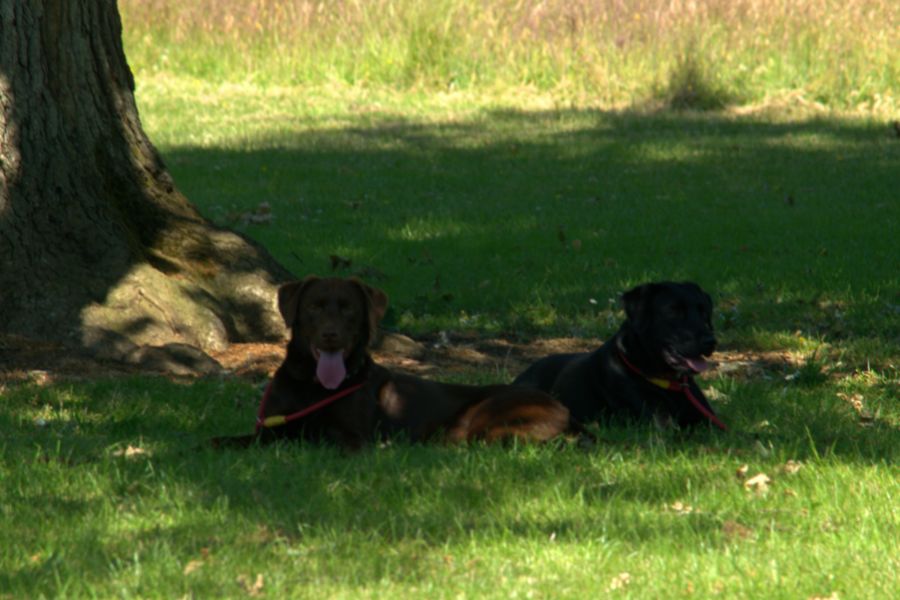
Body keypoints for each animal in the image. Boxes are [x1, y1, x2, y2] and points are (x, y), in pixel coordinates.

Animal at [213, 276, 568, 450]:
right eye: (314, 307)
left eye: (348, 308)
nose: (331, 336)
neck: (313, 387)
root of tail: (568, 414)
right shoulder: (267, 429)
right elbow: (227, 440)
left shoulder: (353, 439)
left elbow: (319, 438)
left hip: (485, 415)